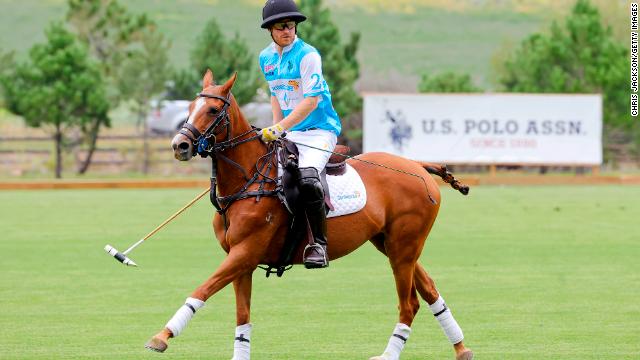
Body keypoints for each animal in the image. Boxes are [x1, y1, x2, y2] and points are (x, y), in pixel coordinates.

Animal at [146, 71, 476, 360]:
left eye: (213, 109)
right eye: (190, 107)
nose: (179, 145)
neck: (248, 180)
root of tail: (419, 166)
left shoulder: (245, 251)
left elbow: (203, 288)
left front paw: (161, 337)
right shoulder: (240, 259)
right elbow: (242, 315)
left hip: (403, 245)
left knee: (408, 304)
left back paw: (389, 355)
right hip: (392, 243)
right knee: (429, 290)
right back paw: (461, 348)